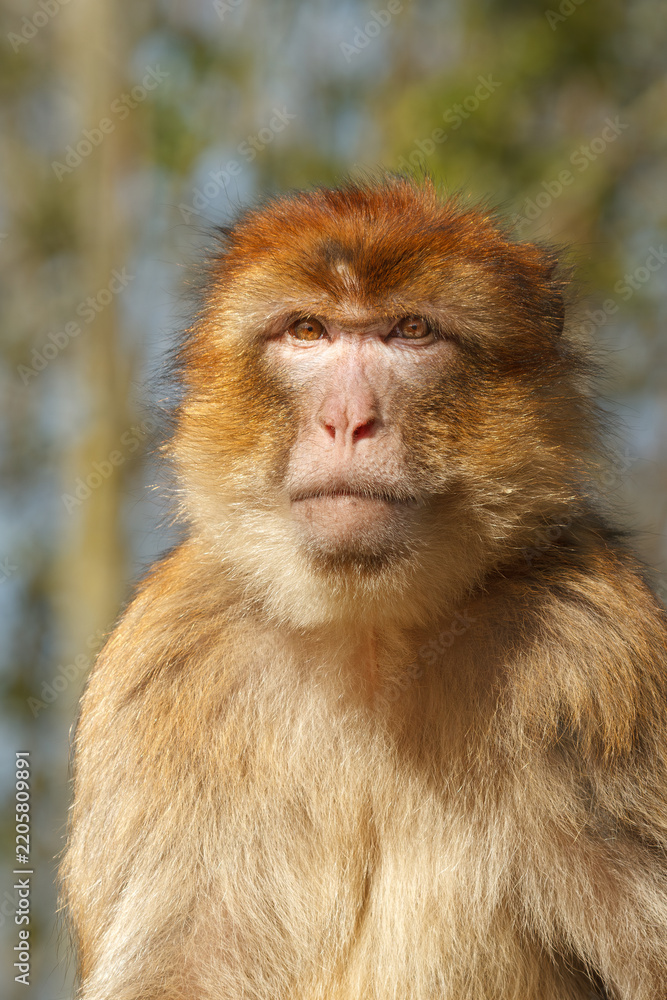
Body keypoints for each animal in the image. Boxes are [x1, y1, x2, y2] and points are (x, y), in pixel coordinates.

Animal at [61, 176, 667, 1000]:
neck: (369, 633)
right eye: (307, 331)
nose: (347, 419)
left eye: (411, 331)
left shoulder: (597, 654)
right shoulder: (169, 665)